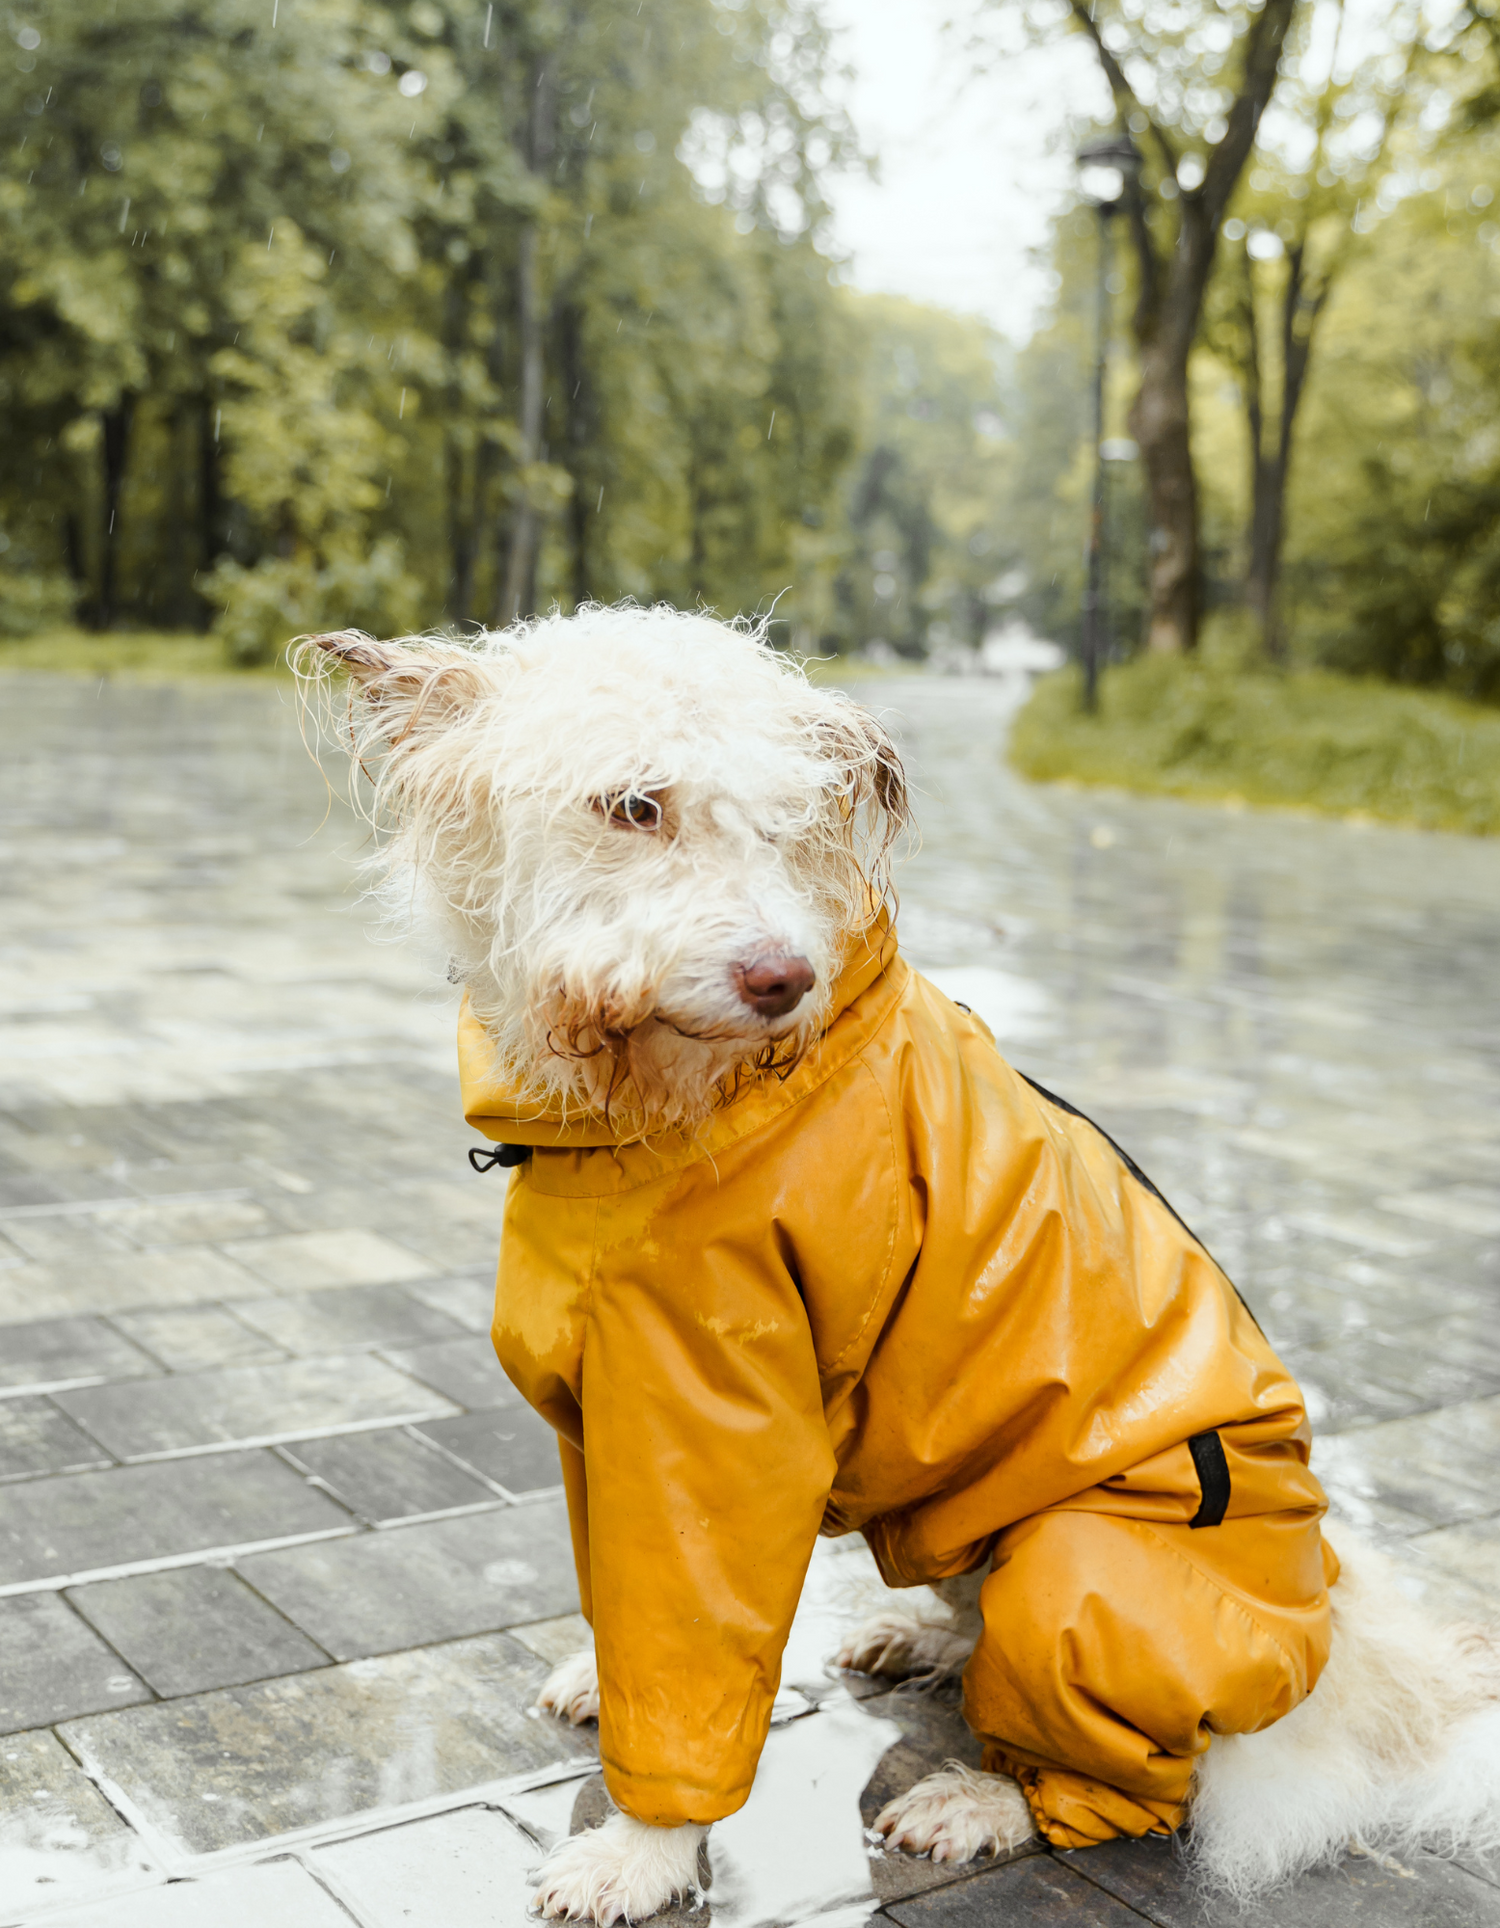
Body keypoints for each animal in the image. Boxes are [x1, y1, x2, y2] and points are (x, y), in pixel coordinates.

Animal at [300, 605, 1496, 1928]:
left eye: (788, 825)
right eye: (635, 805)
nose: (781, 977)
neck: (661, 1117)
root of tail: (1335, 1639)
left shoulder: (715, 1435)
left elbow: (695, 1644)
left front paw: (644, 1852)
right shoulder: (602, 1424)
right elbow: (637, 1611)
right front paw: (612, 1694)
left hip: (1092, 1573)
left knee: (1150, 1778)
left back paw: (989, 1795)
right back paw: (920, 1642)